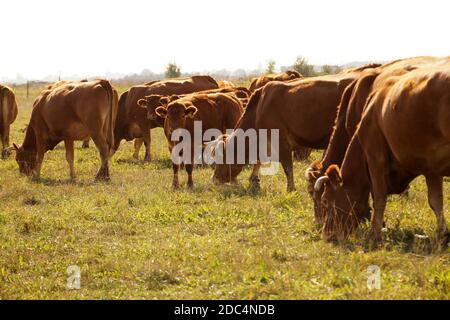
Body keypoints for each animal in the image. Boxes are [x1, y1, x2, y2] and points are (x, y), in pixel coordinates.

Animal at [209, 69, 374, 191]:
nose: (214, 179)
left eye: (221, 157)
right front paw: (254, 180)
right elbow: (258, 162)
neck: (259, 108)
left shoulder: (281, 142)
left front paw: (290, 189)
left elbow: (287, 167)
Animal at [316, 64, 450, 245]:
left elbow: (379, 198)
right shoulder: (431, 167)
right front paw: (443, 235)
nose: (327, 235)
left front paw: (375, 234)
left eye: (325, 201)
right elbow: (436, 201)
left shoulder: (375, 159)